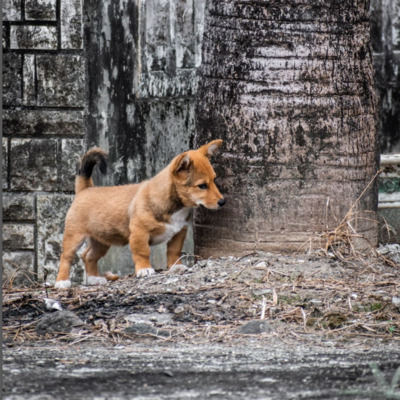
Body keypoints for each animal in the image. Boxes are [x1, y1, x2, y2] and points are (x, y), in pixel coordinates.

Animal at [53, 139, 225, 290]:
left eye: (215, 180)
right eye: (202, 186)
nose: (223, 202)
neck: (174, 205)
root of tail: (85, 189)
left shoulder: (179, 232)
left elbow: (174, 251)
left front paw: (175, 267)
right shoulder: (139, 233)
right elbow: (142, 252)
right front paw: (144, 269)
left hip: (101, 241)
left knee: (88, 256)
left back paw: (94, 278)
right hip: (74, 237)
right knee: (66, 258)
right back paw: (62, 282)